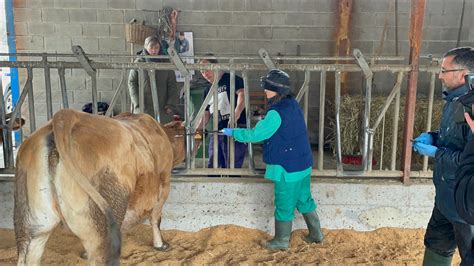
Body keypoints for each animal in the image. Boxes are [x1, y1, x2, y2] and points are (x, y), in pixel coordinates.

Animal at [12, 109, 198, 264]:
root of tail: (66, 116)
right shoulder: (164, 181)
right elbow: (156, 217)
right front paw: (160, 245)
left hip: (32, 225)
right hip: (103, 224)